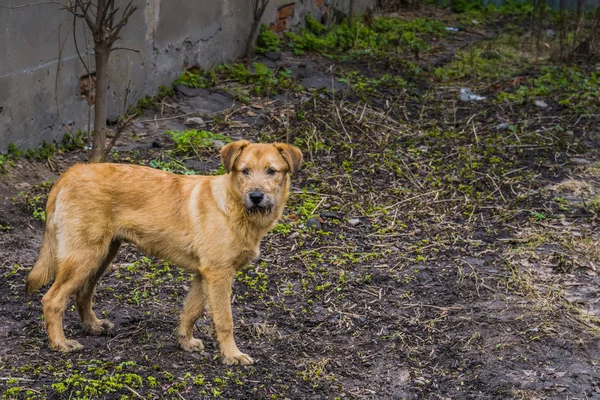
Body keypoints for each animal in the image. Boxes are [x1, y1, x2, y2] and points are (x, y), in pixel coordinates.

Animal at [25, 141, 302, 366]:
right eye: (244, 171)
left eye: (271, 171)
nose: (256, 196)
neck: (233, 206)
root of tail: (70, 173)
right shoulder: (219, 274)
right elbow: (225, 320)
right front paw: (232, 355)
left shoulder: (203, 274)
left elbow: (191, 311)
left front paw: (185, 342)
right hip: (84, 256)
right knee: (52, 299)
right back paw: (60, 343)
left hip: (101, 256)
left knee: (82, 294)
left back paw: (93, 326)